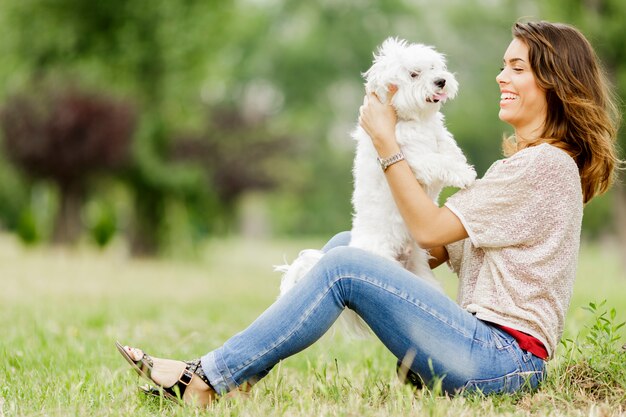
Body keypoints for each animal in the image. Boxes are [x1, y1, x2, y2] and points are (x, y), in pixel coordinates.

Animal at [276, 35, 476, 334]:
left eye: (434, 68)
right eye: (414, 74)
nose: (440, 81)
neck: (414, 120)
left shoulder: (439, 136)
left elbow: (449, 146)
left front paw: (463, 164)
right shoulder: (413, 159)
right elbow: (438, 161)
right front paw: (463, 174)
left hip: (421, 274)